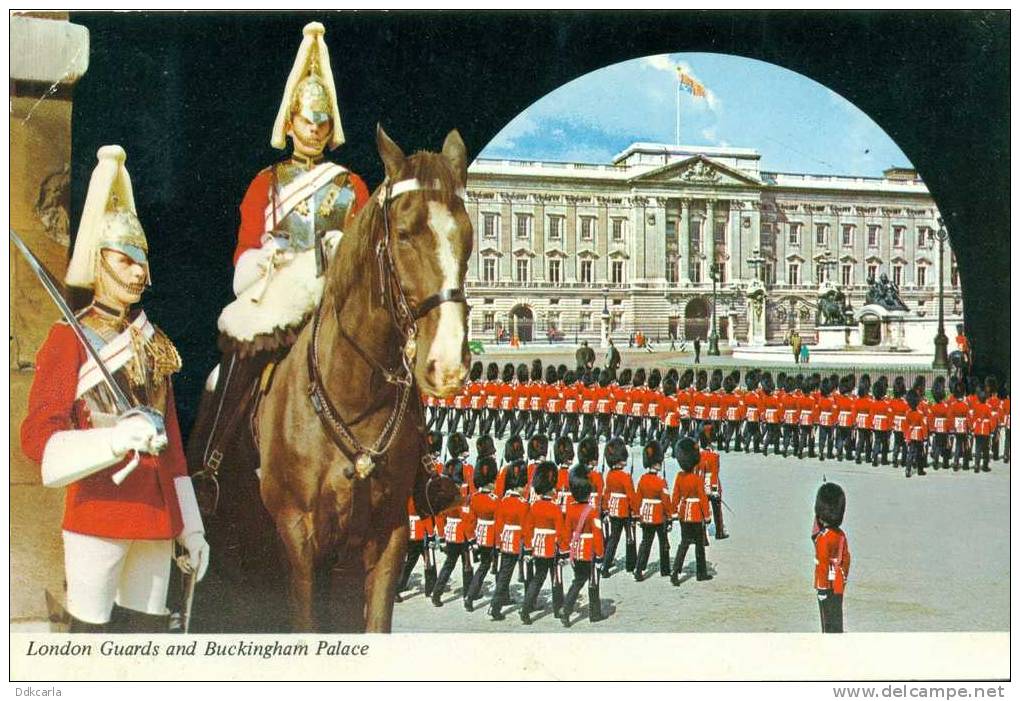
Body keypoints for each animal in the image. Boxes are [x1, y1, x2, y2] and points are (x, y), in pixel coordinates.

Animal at [259, 127, 473, 636]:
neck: (354, 395)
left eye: (468, 235)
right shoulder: (297, 538)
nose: (447, 366)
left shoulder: (388, 532)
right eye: (404, 233)